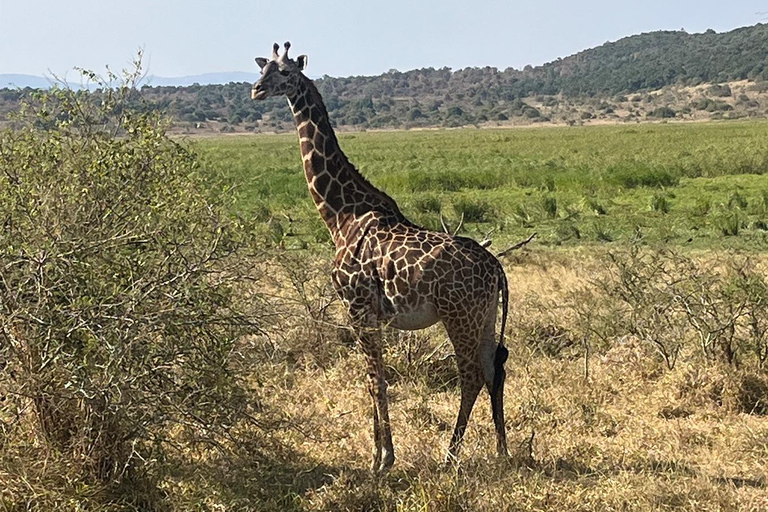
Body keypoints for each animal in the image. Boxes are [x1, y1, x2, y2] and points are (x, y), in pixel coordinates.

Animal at [252, 42, 512, 474]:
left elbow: (376, 378)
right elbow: (372, 377)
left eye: (286, 72)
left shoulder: (356, 305)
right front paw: (378, 454)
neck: (339, 214)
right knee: (495, 370)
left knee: (471, 374)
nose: (256, 90)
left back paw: (450, 454)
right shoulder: (369, 311)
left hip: (459, 315)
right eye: (263, 68)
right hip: (487, 315)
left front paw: (383, 459)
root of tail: (498, 269)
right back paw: (503, 451)